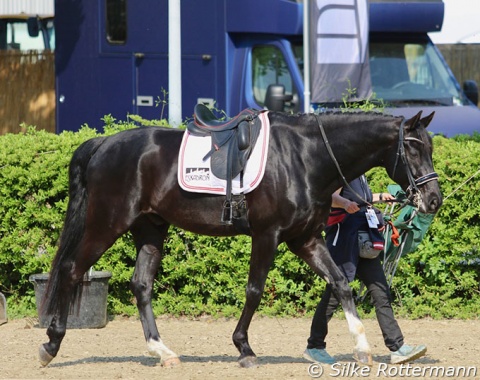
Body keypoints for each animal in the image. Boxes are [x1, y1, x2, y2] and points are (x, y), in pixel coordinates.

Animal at [38, 109, 442, 368]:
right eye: (412, 146)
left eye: (431, 147)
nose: (434, 199)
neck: (304, 157)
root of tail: (104, 143)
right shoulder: (267, 235)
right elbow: (254, 290)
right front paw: (244, 348)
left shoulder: (306, 239)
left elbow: (341, 283)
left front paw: (361, 347)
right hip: (107, 223)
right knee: (72, 269)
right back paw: (51, 344)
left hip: (150, 227)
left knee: (141, 284)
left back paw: (162, 351)